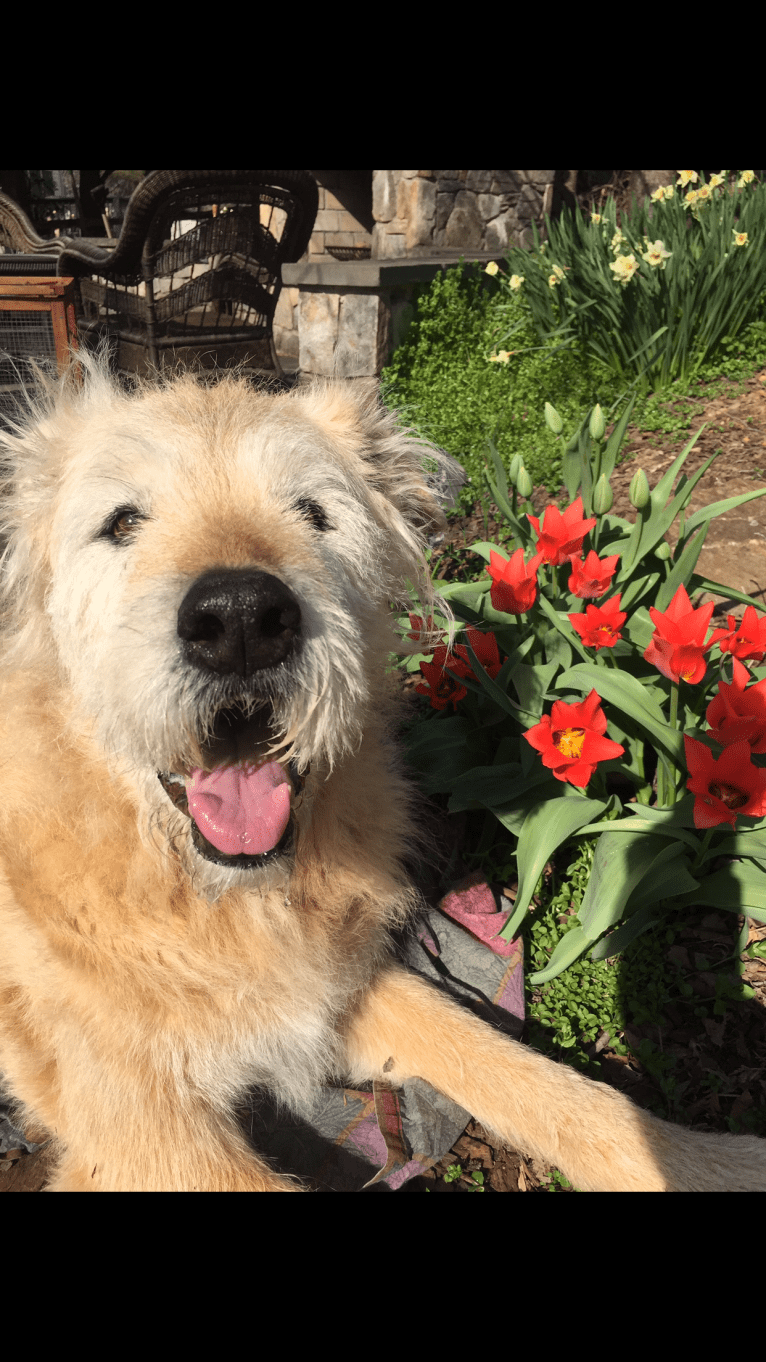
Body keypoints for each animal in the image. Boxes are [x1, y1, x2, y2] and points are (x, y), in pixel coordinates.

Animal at [1, 354, 763, 1193]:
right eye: (122, 522)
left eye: (314, 513)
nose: (241, 620)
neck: (224, 902)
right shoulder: (141, 1126)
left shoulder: (340, 991)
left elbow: (534, 1075)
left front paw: (710, 1161)